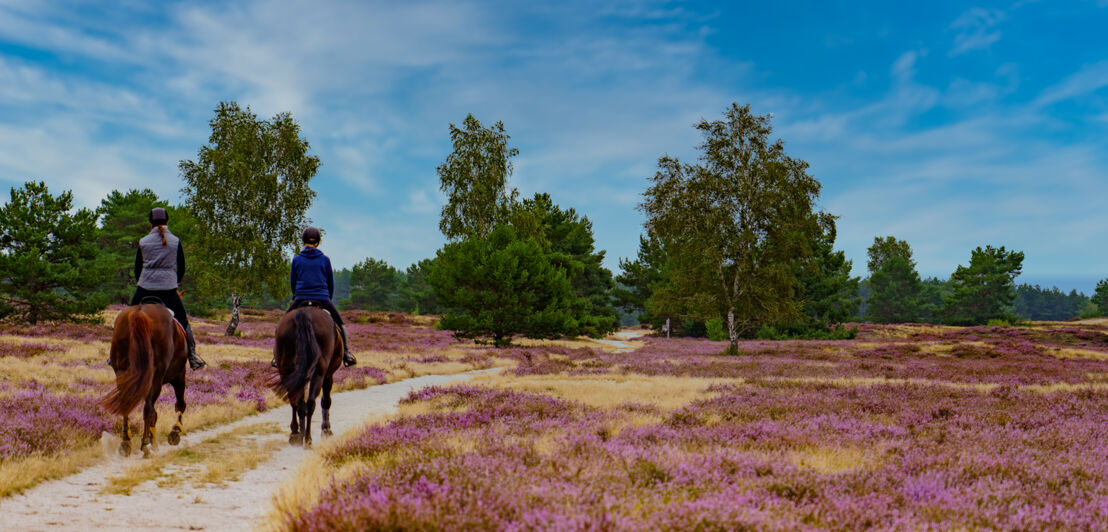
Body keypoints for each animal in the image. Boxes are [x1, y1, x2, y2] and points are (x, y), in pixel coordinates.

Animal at [100, 303, 187, 456]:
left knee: (126, 403)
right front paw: (175, 431)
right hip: (157, 376)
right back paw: (145, 443)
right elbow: (180, 404)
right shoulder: (179, 376)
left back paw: (126, 442)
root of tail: (139, 312)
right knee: (148, 408)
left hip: (121, 371)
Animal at [271, 303, 341, 447]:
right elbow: (326, 401)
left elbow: (300, 403)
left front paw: (300, 432)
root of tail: (304, 313)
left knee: (295, 400)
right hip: (319, 373)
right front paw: (326, 429)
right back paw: (308, 439)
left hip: (287, 371)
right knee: (311, 402)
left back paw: (296, 435)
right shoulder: (328, 375)